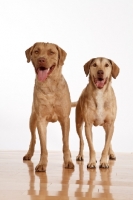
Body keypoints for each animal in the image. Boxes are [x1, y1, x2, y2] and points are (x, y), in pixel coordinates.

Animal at [23, 42, 74, 172]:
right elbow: (43, 146)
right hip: (32, 120)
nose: (41, 59)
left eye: (51, 52)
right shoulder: (41, 120)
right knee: (33, 139)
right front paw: (42, 163)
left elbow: (66, 143)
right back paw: (29, 154)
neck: (49, 85)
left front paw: (68, 161)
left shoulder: (65, 119)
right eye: (36, 51)